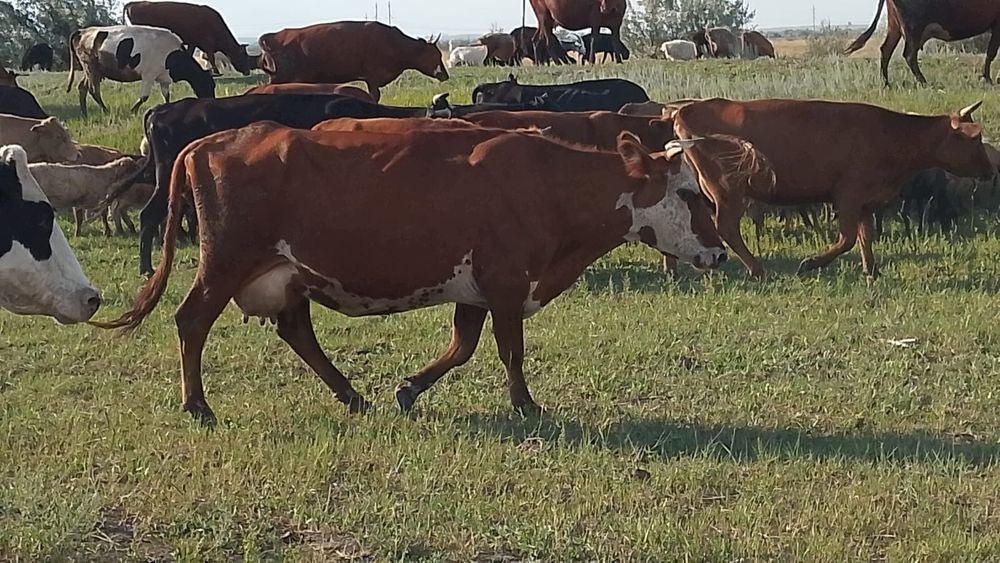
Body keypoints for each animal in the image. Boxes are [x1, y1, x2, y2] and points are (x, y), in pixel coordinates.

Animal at [67, 25, 215, 115]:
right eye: (207, 84)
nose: (211, 101)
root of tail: (82, 31)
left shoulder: (164, 78)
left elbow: (167, 96)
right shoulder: (148, 75)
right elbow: (144, 97)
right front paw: (132, 111)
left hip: (94, 70)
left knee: (82, 87)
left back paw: (85, 113)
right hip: (90, 67)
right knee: (93, 90)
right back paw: (105, 110)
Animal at [94, 122, 727, 422]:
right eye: (691, 193)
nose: (720, 254)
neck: (547, 182)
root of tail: (213, 140)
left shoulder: (476, 288)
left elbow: (463, 347)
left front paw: (409, 388)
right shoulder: (505, 283)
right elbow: (510, 350)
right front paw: (526, 404)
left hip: (287, 274)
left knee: (297, 332)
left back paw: (351, 395)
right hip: (225, 263)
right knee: (192, 320)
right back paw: (198, 405)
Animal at [258, 21, 448, 103]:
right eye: (434, 55)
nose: (445, 75)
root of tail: (274, 36)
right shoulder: (372, 78)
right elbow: (374, 97)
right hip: (280, 78)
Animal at [673, 98, 995, 279]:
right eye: (975, 140)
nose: (991, 170)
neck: (889, 133)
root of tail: (686, 109)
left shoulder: (866, 200)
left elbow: (866, 237)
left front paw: (871, 270)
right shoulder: (848, 195)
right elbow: (848, 238)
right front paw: (811, 263)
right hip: (728, 192)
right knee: (727, 229)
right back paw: (757, 269)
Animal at [846, 0, 1000, 85]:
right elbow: (991, 53)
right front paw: (988, 79)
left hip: (895, 25)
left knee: (886, 50)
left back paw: (886, 83)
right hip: (913, 27)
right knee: (909, 55)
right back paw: (924, 82)